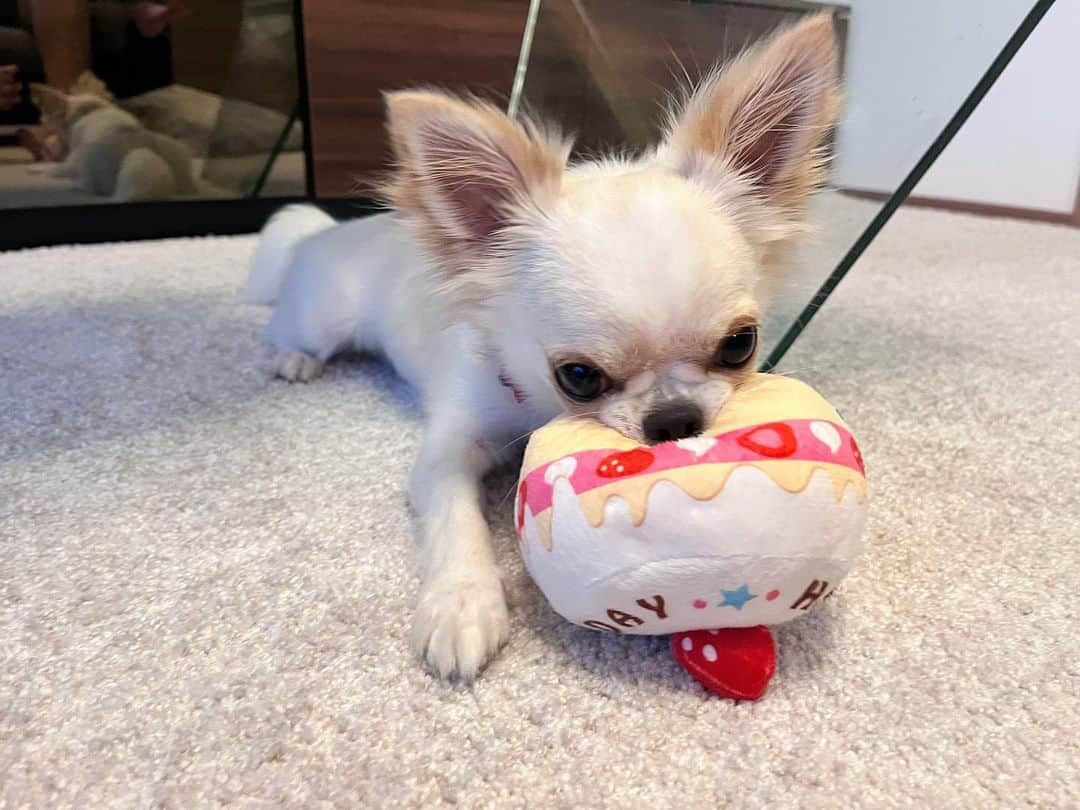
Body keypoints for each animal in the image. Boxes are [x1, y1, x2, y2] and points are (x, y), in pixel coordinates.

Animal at [240, 15, 838, 682]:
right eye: (578, 376)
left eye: (740, 345)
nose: (674, 420)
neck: (534, 410)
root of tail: (328, 230)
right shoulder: (448, 450)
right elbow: (455, 516)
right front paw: (462, 601)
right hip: (325, 316)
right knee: (285, 329)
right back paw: (293, 361)